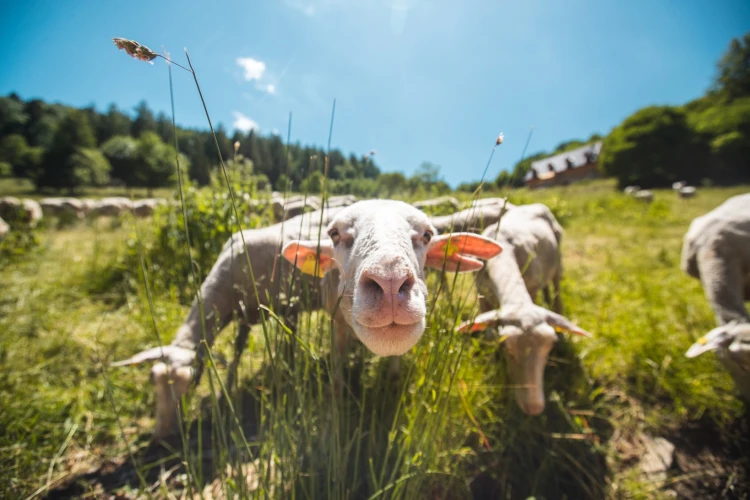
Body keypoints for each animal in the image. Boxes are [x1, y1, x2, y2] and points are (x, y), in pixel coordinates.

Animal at [111, 199, 502, 438]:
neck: (225, 281)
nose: (162, 435)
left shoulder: (282, 308)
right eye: (153, 386)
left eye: (427, 235)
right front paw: (231, 385)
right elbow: (237, 351)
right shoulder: (252, 313)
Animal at [458, 202, 592, 414]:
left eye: (550, 346)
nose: (533, 408)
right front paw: (493, 363)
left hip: (558, 263)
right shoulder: (481, 295)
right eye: (506, 347)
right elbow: (488, 335)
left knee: (556, 293)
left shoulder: (532, 289)